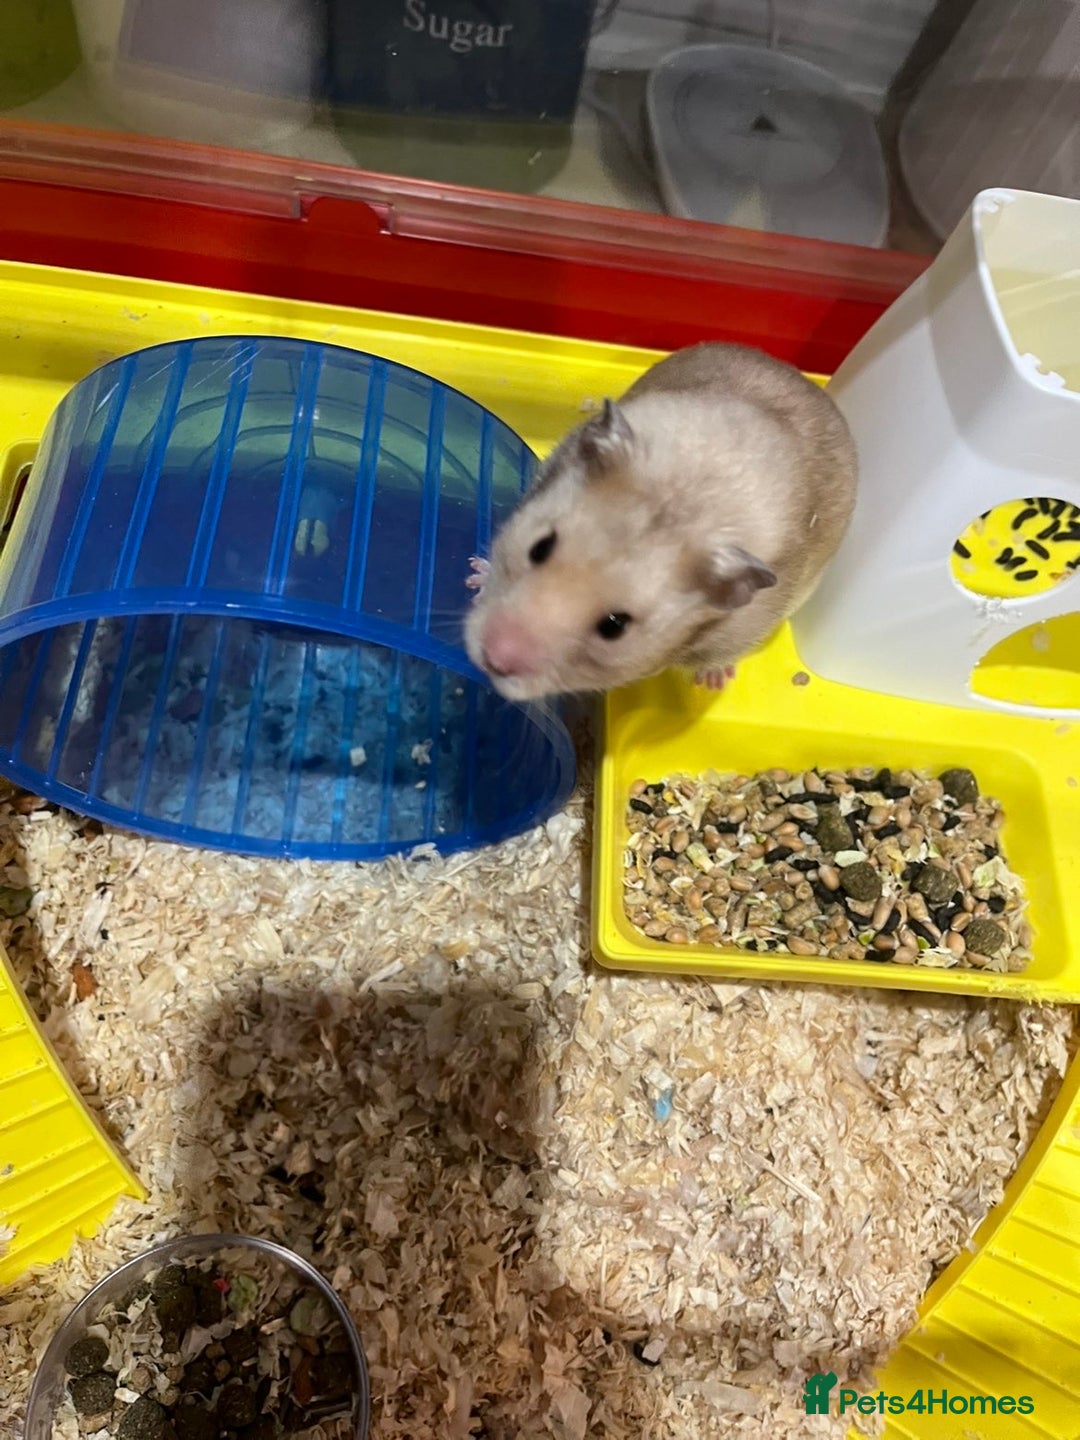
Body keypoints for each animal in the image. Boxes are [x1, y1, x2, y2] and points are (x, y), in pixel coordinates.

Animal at [463, 342, 857, 702]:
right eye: (539, 548)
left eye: (615, 626)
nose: (493, 658)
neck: (688, 497)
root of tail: (803, 379)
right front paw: (475, 574)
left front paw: (713, 683)